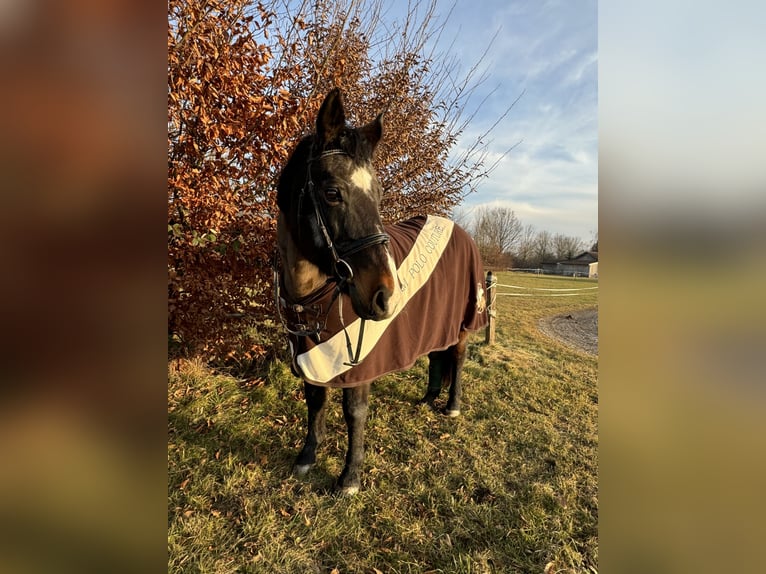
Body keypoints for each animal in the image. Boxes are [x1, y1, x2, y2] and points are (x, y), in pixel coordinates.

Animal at [278, 90, 486, 496]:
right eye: (332, 193)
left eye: (378, 194)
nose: (386, 296)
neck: (314, 299)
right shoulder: (311, 355)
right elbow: (315, 400)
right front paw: (307, 457)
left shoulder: (358, 364)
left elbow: (354, 413)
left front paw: (350, 478)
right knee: (436, 357)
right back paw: (428, 399)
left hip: (462, 324)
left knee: (457, 357)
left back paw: (451, 406)